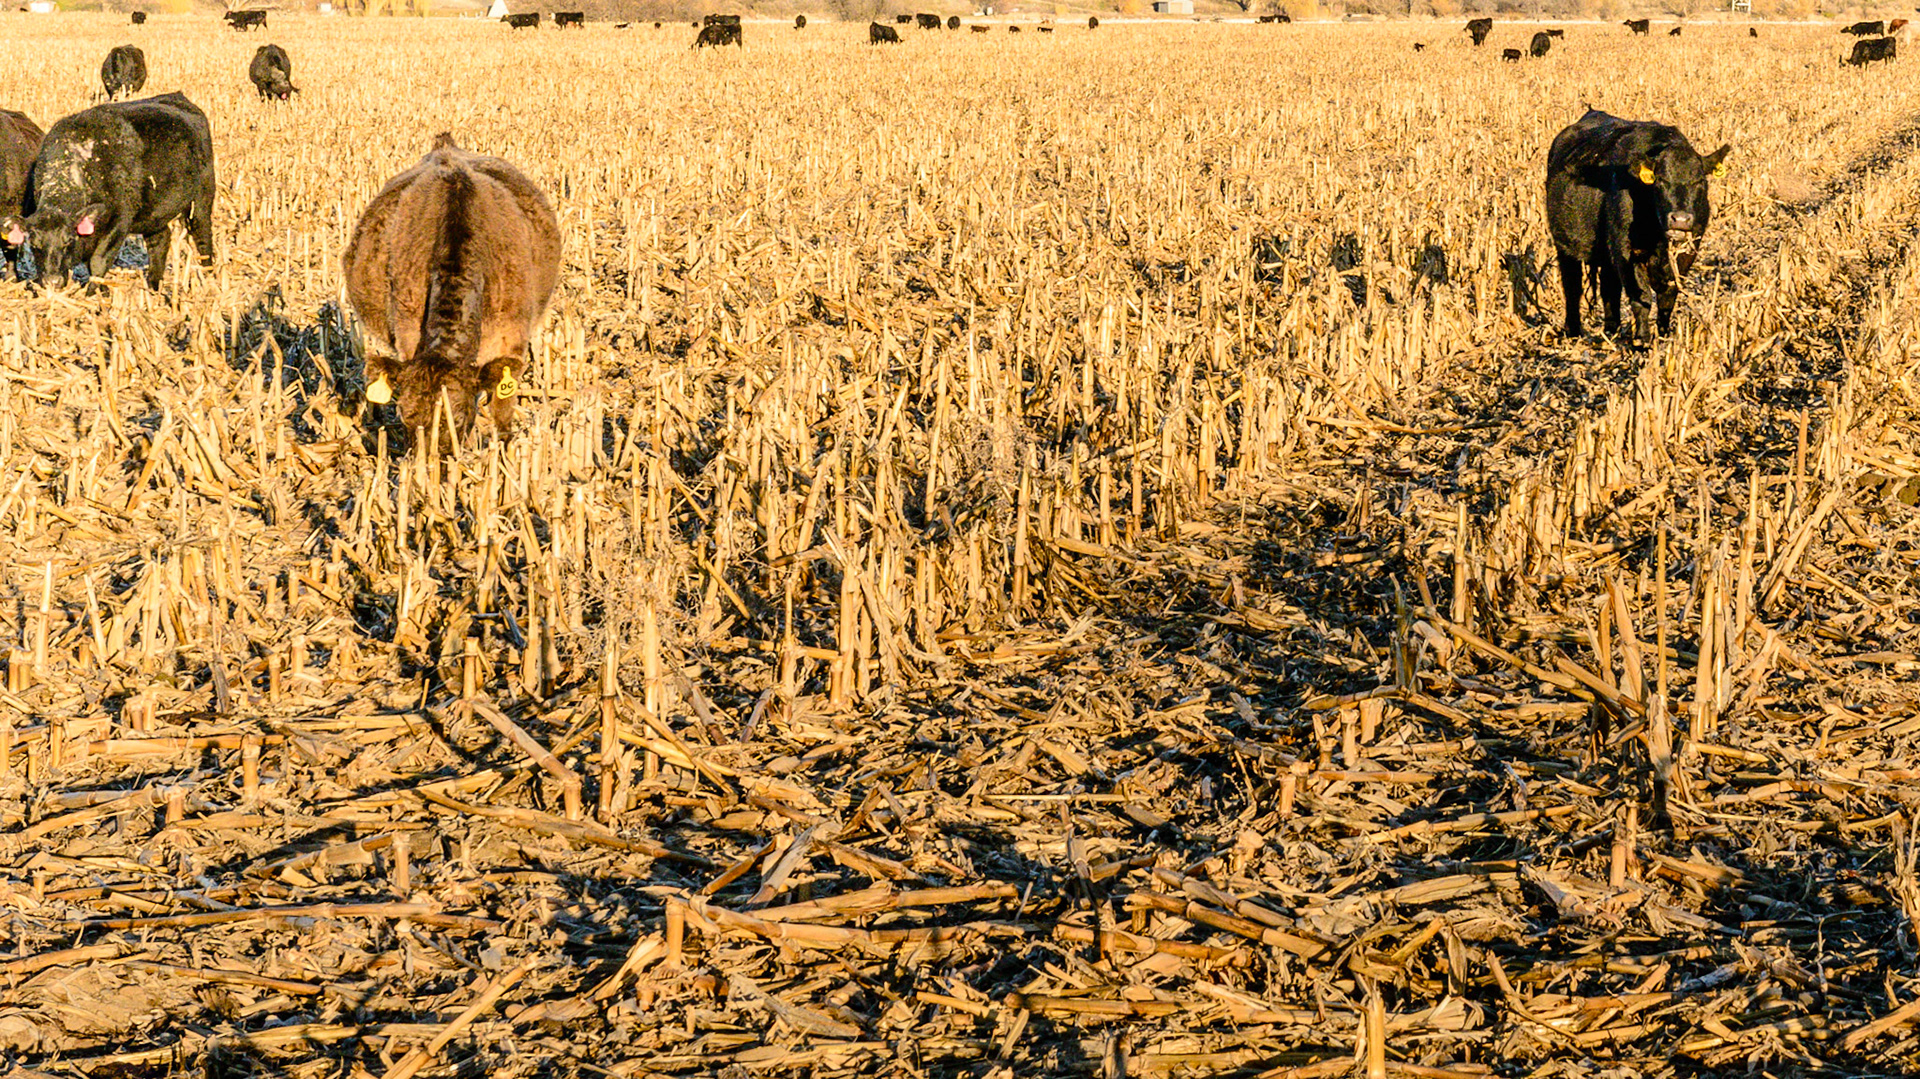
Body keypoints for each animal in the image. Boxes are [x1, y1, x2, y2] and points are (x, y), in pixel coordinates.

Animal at [2, 92, 214, 290]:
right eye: (34, 244)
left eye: (68, 241)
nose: (52, 281)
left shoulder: (119, 222)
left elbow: (98, 263)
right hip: (154, 214)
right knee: (160, 241)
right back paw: (153, 286)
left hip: (201, 200)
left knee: (203, 237)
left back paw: (208, 276)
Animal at [343, 133, 560, 455]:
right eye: (404, 417)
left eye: (457, 418)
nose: (428, 464)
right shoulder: (408, 338)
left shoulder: (510, 340)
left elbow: (502, 413)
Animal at [1545, 108, 1729, 343]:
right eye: (1660, 181)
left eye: (1700, 182)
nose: (1680, 219)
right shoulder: (1625, 249)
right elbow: (1641, 295)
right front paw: (1642, 339)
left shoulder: (1688, 250)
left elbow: (1668, 294)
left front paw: (1664, 335)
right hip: (1564, 245)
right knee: (1572, 286)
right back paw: (1573, 332)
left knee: (1609, 289)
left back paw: (1611, 331)